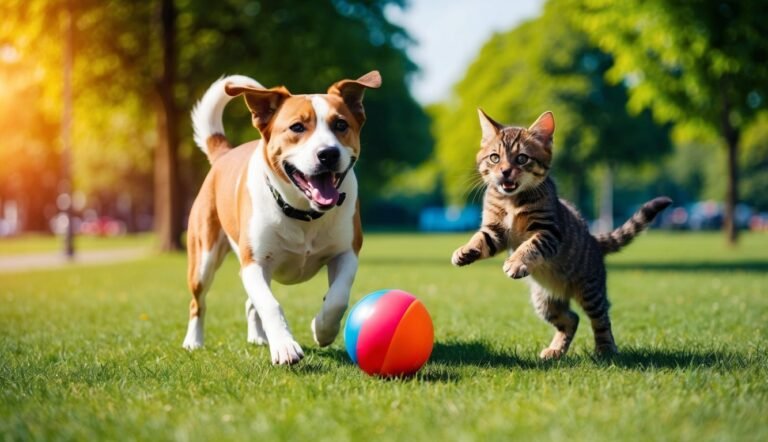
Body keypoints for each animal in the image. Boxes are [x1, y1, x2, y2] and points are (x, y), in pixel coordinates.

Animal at [183, 71, 380, 364]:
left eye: (341, 124)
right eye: (297, 127)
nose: (328, 153)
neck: (304, 213)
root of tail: (224, 154)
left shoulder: (346, 253)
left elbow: (338, 298)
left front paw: (321, 329)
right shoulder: (254, 263)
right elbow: (270, 304)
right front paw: (285, 346)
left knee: (249, 302)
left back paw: (258, 337)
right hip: (204, 258)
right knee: (199, 301)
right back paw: (193, 341)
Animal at [452, 109, 668, 360]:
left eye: (522, 158)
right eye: (495, 158)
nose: (505, 171)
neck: (512, 201)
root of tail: (593, 239)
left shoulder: (549, 231)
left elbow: (531, 245)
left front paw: (516, 262)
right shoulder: (496, 230)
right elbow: (481, 238)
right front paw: (465, 251)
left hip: (590, 288)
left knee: (601, 317)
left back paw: (605, 348)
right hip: (544, 300)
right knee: (571, 318)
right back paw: (556, 350)